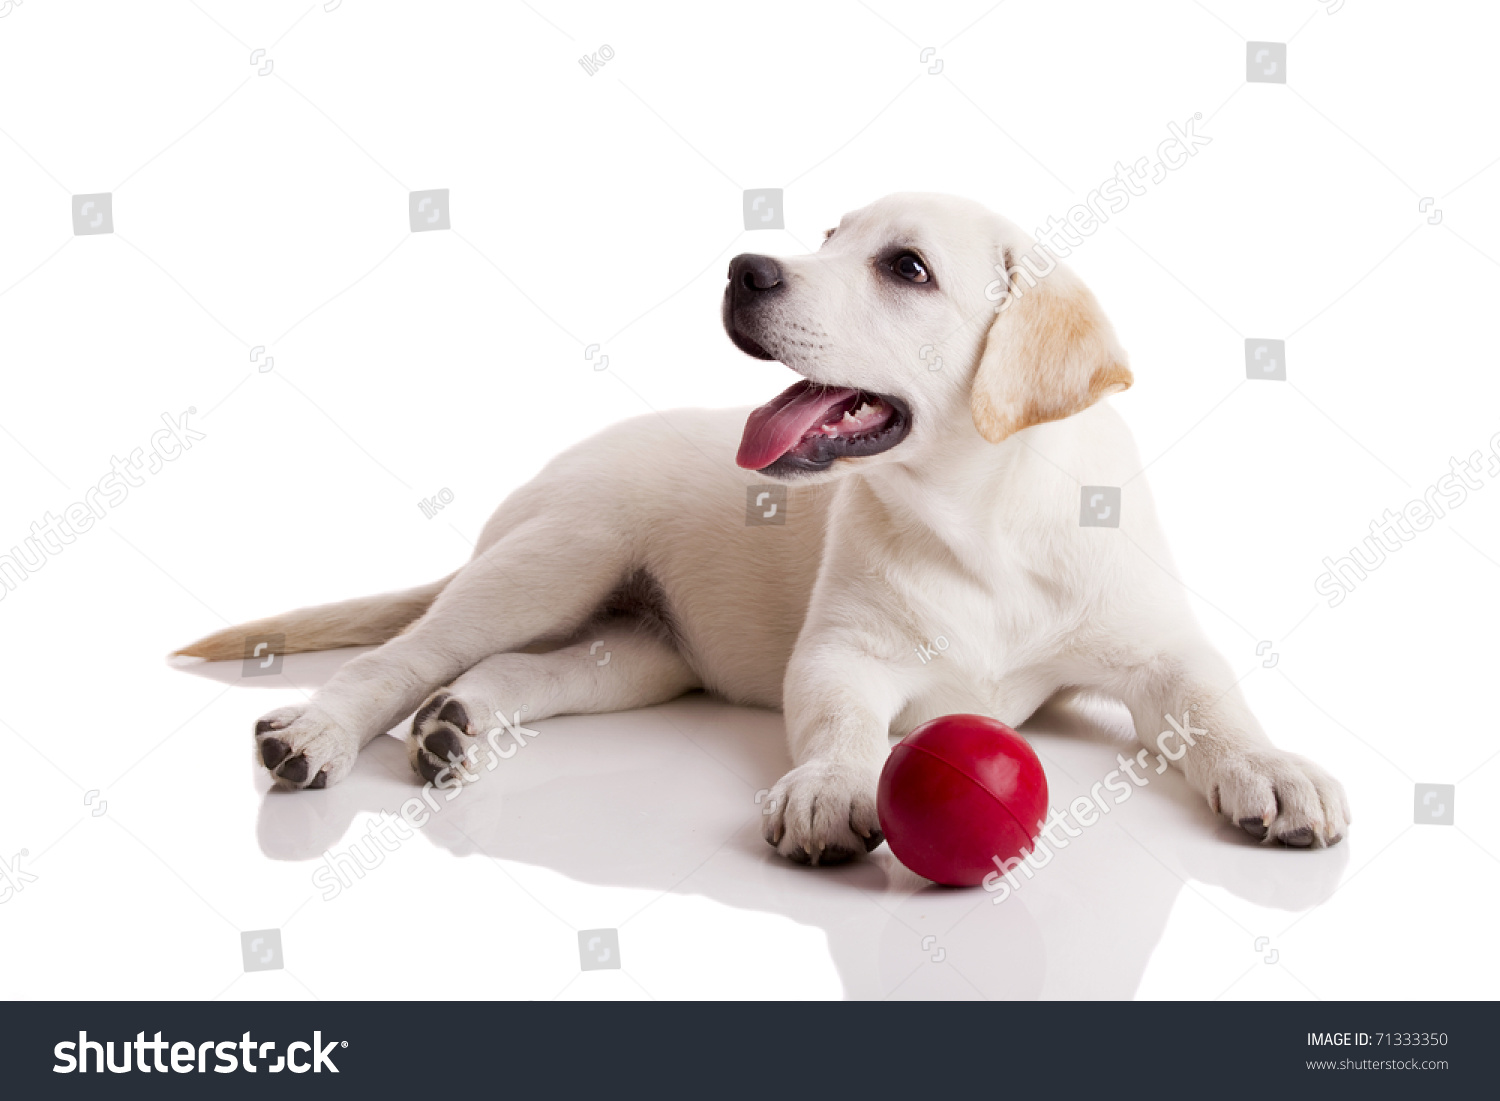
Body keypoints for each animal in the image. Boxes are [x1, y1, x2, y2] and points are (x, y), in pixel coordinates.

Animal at [175, 193, 1350, 858]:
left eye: (906, 267)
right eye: (831, 233)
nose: (745, 269)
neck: (979, 514)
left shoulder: (1159, 652)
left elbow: (1216, 702)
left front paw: (1273, 767)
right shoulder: (840, 655)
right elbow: (841, 724)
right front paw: (832, 787)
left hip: (639, 653)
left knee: (515, 669)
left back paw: (460, 723)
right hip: (558, 556)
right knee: (403, 657)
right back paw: (316, 733)